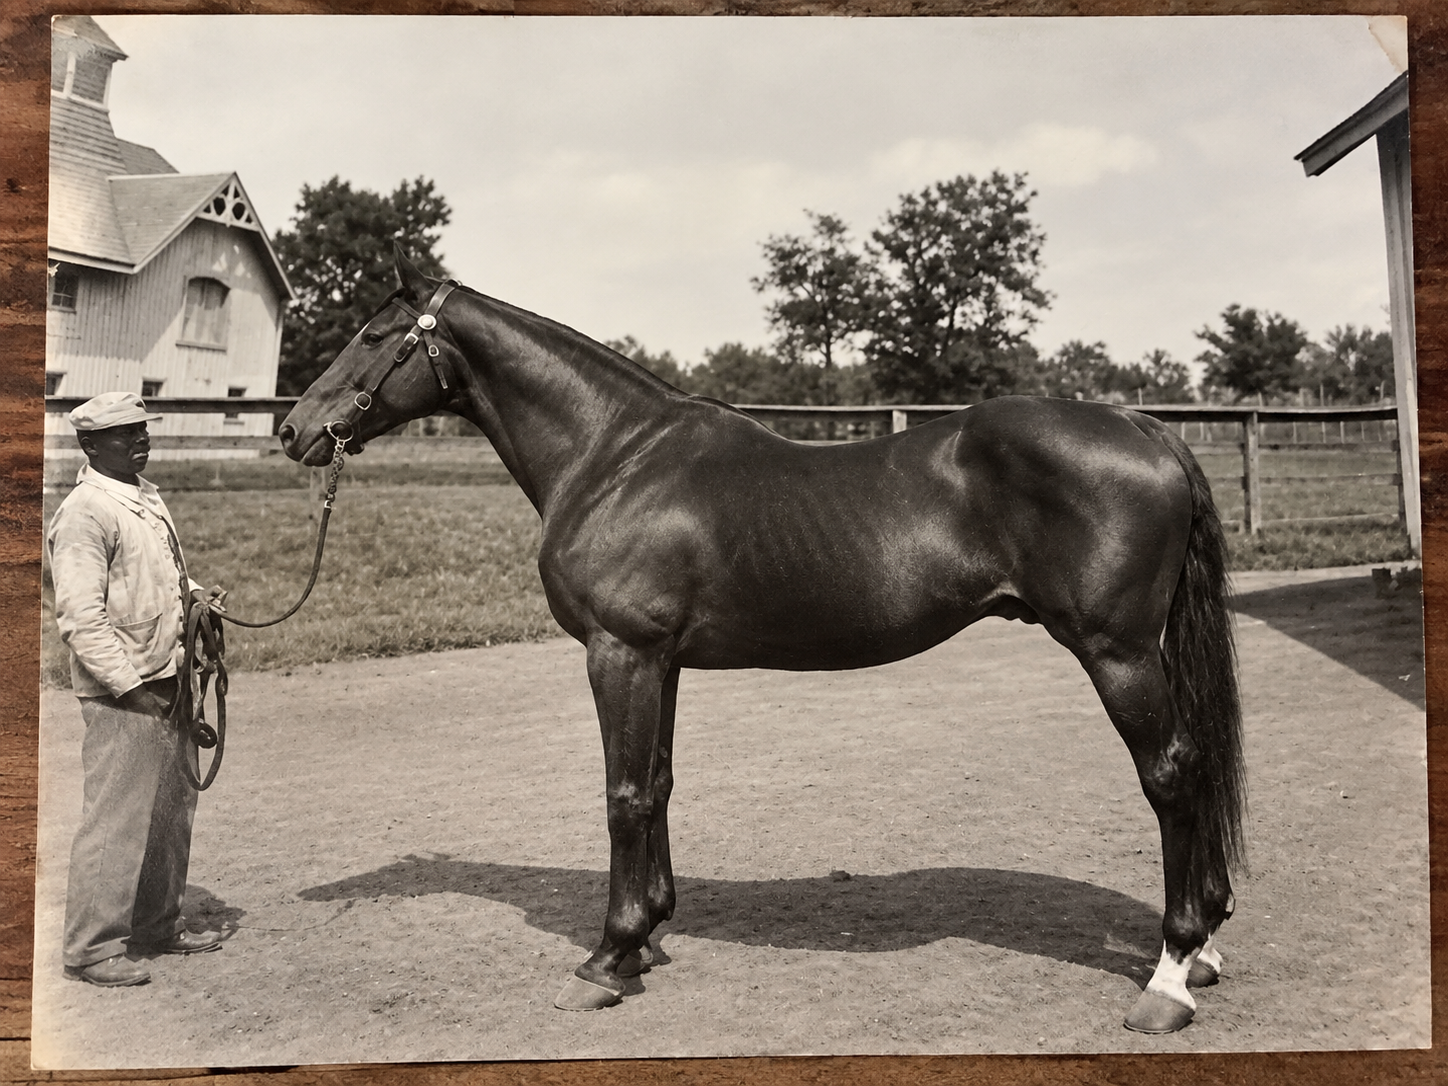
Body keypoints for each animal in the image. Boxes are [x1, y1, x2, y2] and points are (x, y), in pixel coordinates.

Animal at [279, 249, 1246, 1035]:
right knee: (1194, 767)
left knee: (1170, 776)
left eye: (373, 334)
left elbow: (623, 793)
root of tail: (1144, 427)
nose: (293, 430)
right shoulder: (659, 661)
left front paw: (606, 959)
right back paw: (1203, 946)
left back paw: (1168, 978)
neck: (615, 457)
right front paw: (647, 935)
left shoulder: (618, 652)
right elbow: (659, 784)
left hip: (1117, 651)